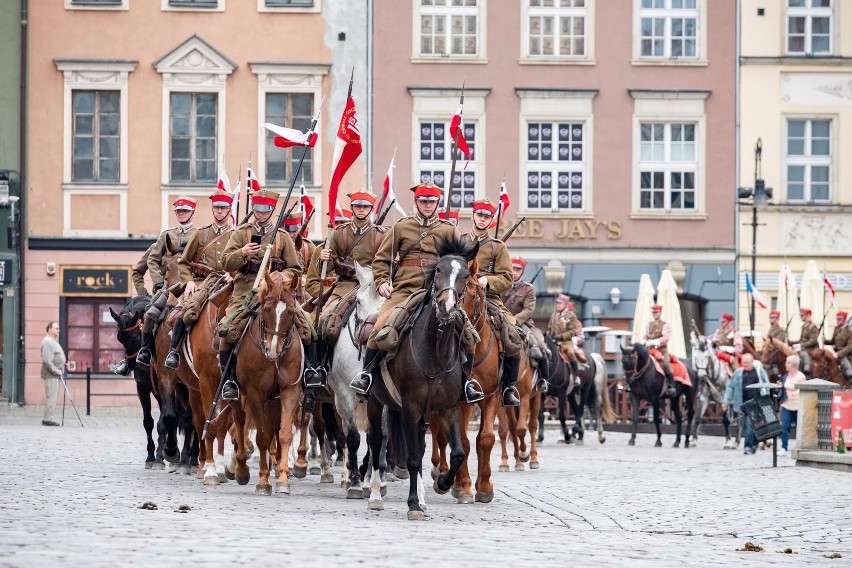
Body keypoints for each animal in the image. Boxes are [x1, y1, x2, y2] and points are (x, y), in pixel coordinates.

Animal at [228, 268, 304, 494]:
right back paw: (241, 469)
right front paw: (262, 481)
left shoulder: (290, 391)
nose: (273, 350)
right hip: (238, 396)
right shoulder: (254, 393)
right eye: (267, 309)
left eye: (290, 312)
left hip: (273, 401)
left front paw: (283, 479)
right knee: (240, 423)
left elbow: (284, 433)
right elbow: (261, 437)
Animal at [326, 262, 386, 496]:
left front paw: (372, 480)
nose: (370, 333)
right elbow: (352, 437)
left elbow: (377, 437)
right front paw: (354, 482)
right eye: (359, 301)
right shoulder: (345, 393)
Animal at [362, 237, 476, 520]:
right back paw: (375, 495)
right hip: (375, 402)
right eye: (439, 271)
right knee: (376, 441)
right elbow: (412, 458)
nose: (447, 307)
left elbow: (458, 453)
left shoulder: (448, 408)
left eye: (465, 275)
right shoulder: (411, 408)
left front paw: (442, 483)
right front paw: (413, 503)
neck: (435, 350)